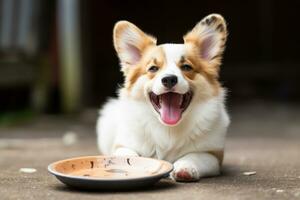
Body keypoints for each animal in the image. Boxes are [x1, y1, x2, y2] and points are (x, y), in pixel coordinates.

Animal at [96, 14, 230, 182]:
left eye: (186, 67)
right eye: (153, 68)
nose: (169, 79)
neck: (169, 129)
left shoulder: (213, 155)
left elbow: (193, 157)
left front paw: (185, 168)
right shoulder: (122, 146)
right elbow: (127, 155)